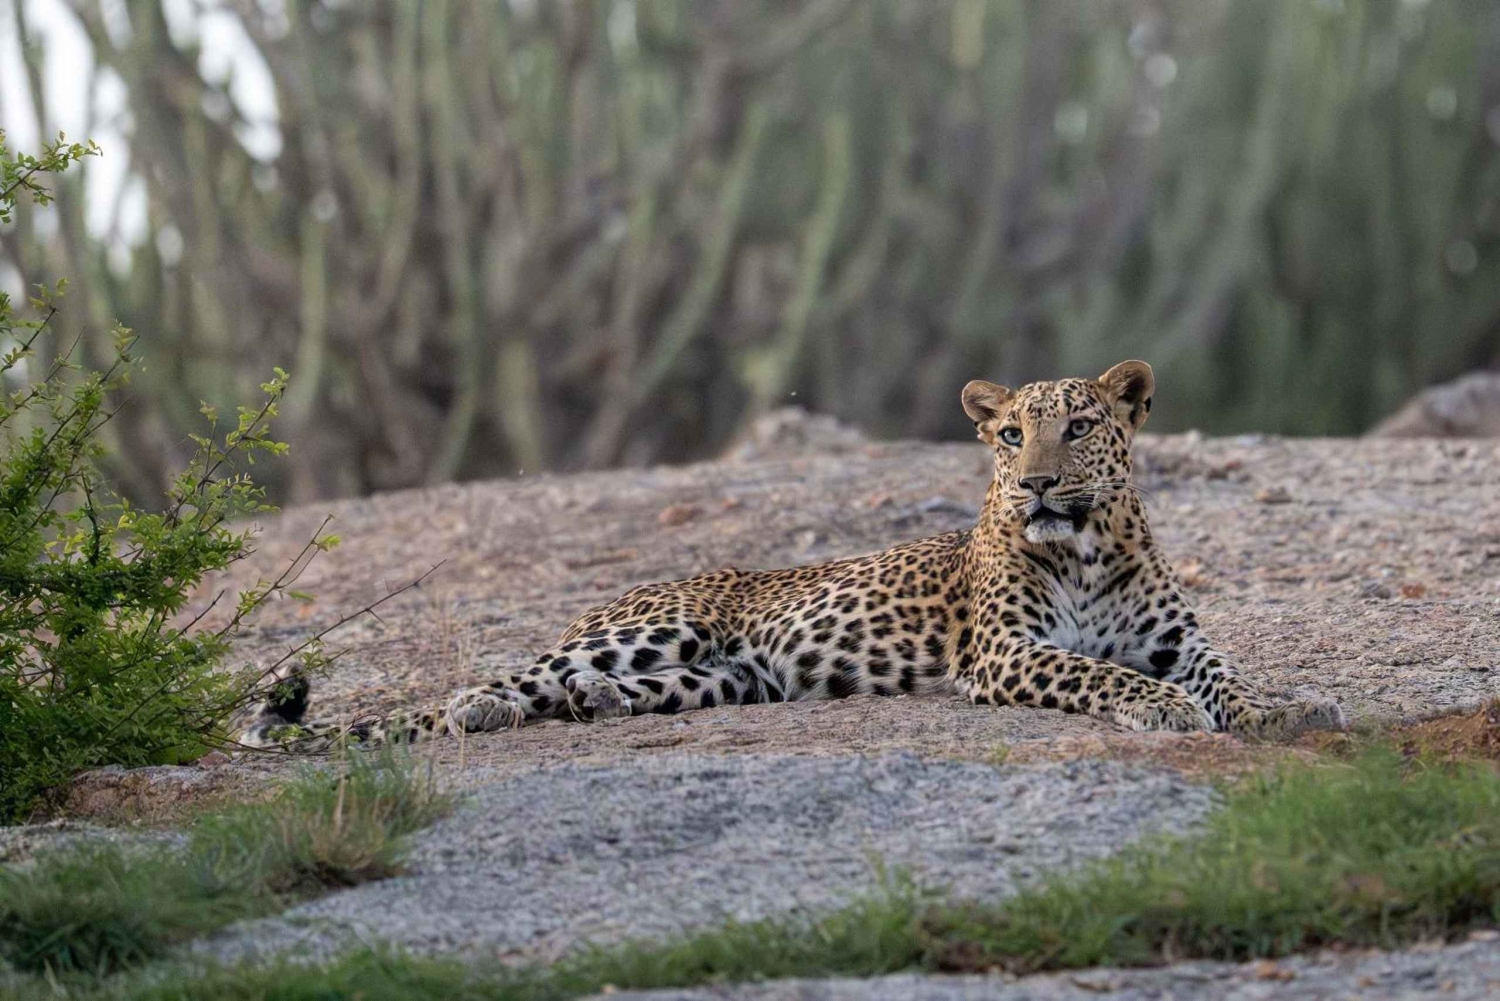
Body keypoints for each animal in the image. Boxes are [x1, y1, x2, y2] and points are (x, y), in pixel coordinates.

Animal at [240, 360, 1345, 749]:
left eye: (1076, 428)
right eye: (1006, 436)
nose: (1035, 484)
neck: (1086, 548)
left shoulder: (1179, 637)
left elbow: (1228, 674)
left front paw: (1285, 709)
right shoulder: (1005, 655)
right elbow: (1100, 672)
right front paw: (1163, 710)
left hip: (728, 678)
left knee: (617, 689)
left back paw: (587, 708)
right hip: (643, 629)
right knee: (501, 678)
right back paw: (473, 709)